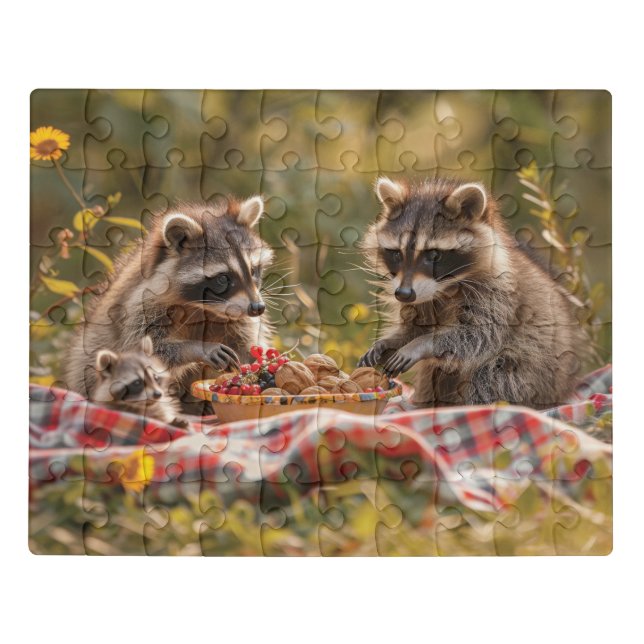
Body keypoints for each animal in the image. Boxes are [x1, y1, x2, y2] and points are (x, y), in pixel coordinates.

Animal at [65, 196, 274, 412]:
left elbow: (247, 344)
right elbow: (147, 347)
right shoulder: (141, 305)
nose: (257, 308)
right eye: (223, 278)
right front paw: (196, 348)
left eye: (253, 271)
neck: (203, 307)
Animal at [358, 177, 587, 409]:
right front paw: (391, 341)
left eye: (434, 255)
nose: (403, 294)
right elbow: (416, 327)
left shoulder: (498, 294)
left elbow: (478, 336)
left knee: (491, 376)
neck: (444, 289)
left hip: (534, 374)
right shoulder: (421, 297)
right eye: (396, 253)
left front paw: (422, 344)